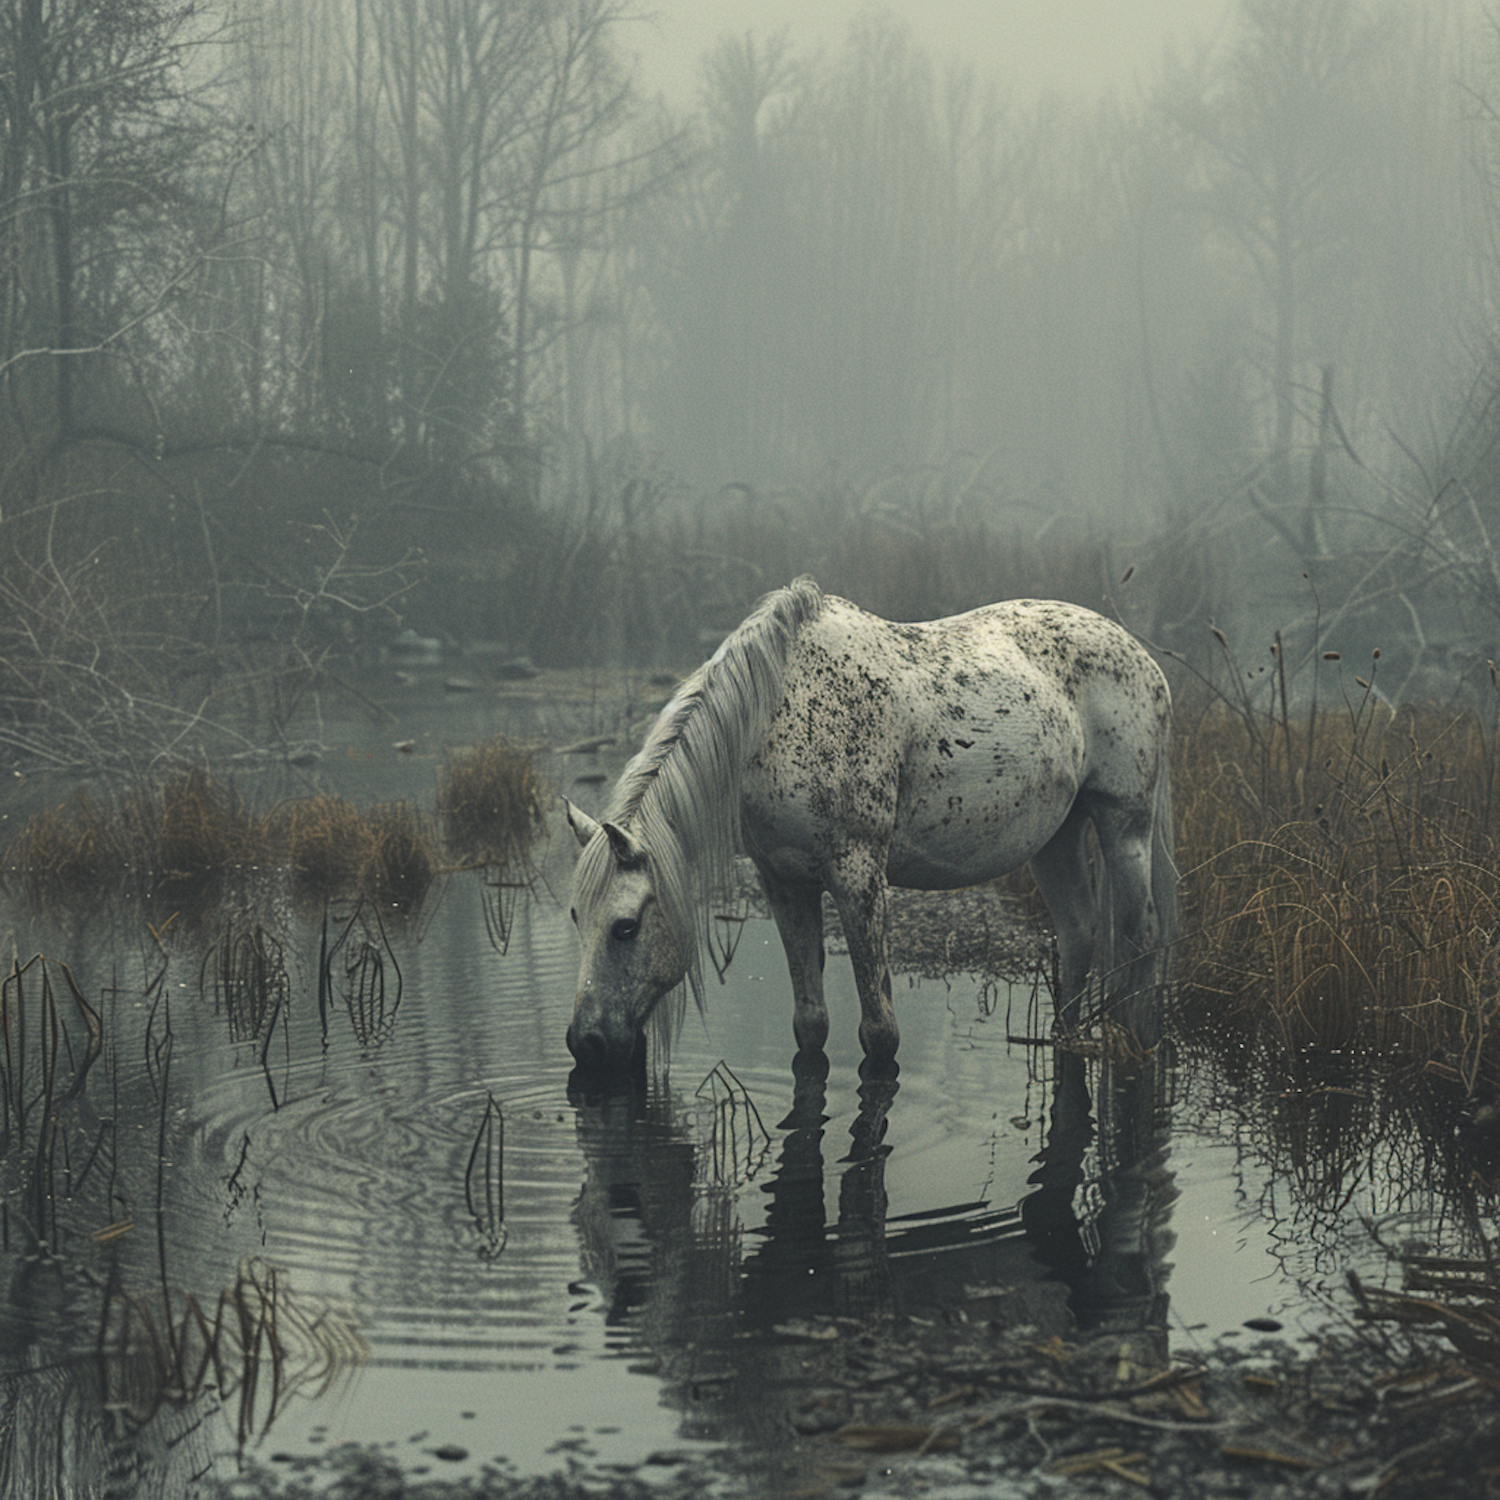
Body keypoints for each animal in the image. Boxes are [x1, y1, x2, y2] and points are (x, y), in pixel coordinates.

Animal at [567, 579, 1176, 1074]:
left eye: (626, 927)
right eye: (577, 919)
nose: (585, 1043)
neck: (771, 724)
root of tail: (1143, 658)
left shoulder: (858, 874)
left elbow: (881, 1034)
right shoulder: (783, 881)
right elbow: (809, 1023)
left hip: (1125, 821)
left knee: (1141, 932)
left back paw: (1134, 1041)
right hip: (1057, 836)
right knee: (1078, 933)